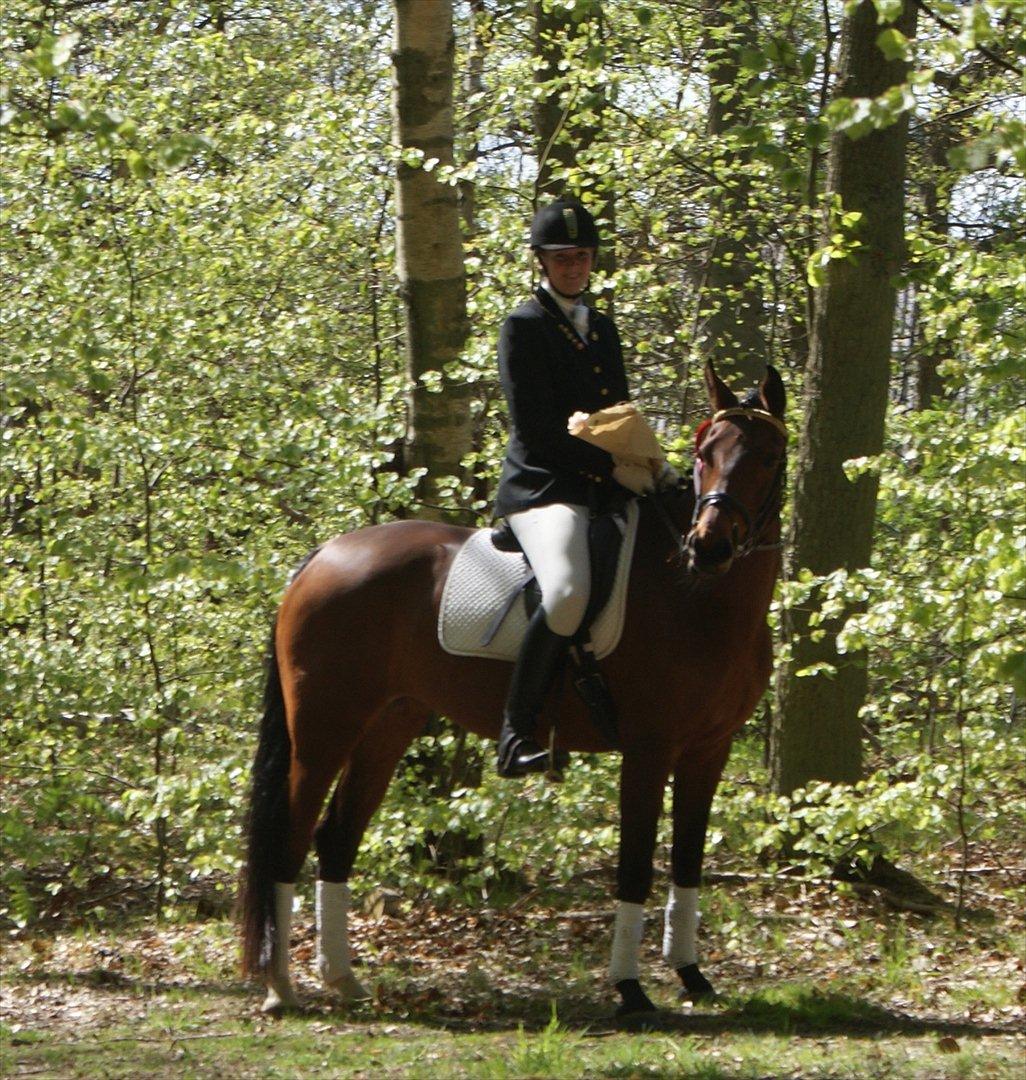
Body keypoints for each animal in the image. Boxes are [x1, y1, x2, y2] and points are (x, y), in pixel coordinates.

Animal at [238, 360, 786, 1010]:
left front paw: (692, 976)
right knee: (291, 837)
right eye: (705, 455)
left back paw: (342, 978)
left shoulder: (708, 750)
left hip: (387, 725)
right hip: (325, 729)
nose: (708, 546)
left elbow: (687, 860)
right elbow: (634, 866)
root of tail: (325, 554)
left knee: (336, 837)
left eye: (770, 457)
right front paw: (630, 989)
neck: (699, 599)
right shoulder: (649, 750)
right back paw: (282, 988)